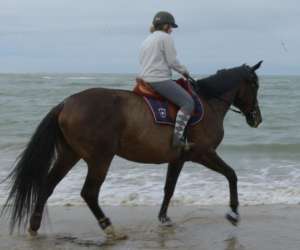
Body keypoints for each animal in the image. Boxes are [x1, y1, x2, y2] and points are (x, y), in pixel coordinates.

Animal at [1, 60, 262, 240]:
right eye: (255, 85)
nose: (257, 118)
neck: (208, 102)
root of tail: (66, 103)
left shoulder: (178, 159)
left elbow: (169, 188)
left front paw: (164, 218)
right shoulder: (203, 154)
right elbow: (231, 175)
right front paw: (234, 213)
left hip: (69, 155)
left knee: (48, 185)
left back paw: (34, 227)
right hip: (100, 158)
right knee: (89, 193)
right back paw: (110, 228)